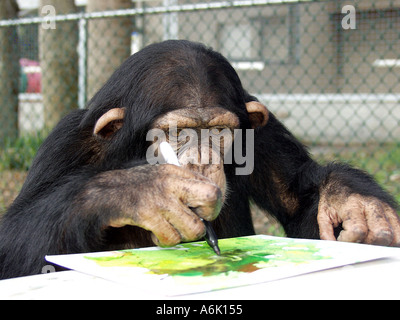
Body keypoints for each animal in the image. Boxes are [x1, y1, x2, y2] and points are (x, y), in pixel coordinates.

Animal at [0, 40, 400, 280]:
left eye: (218, 131)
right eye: (179, 132)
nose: (202, 161)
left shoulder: (260, 132)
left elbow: (298, 200)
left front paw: (357, 206)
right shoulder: (63, 144)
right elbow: (13, 241)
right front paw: (145, 190)